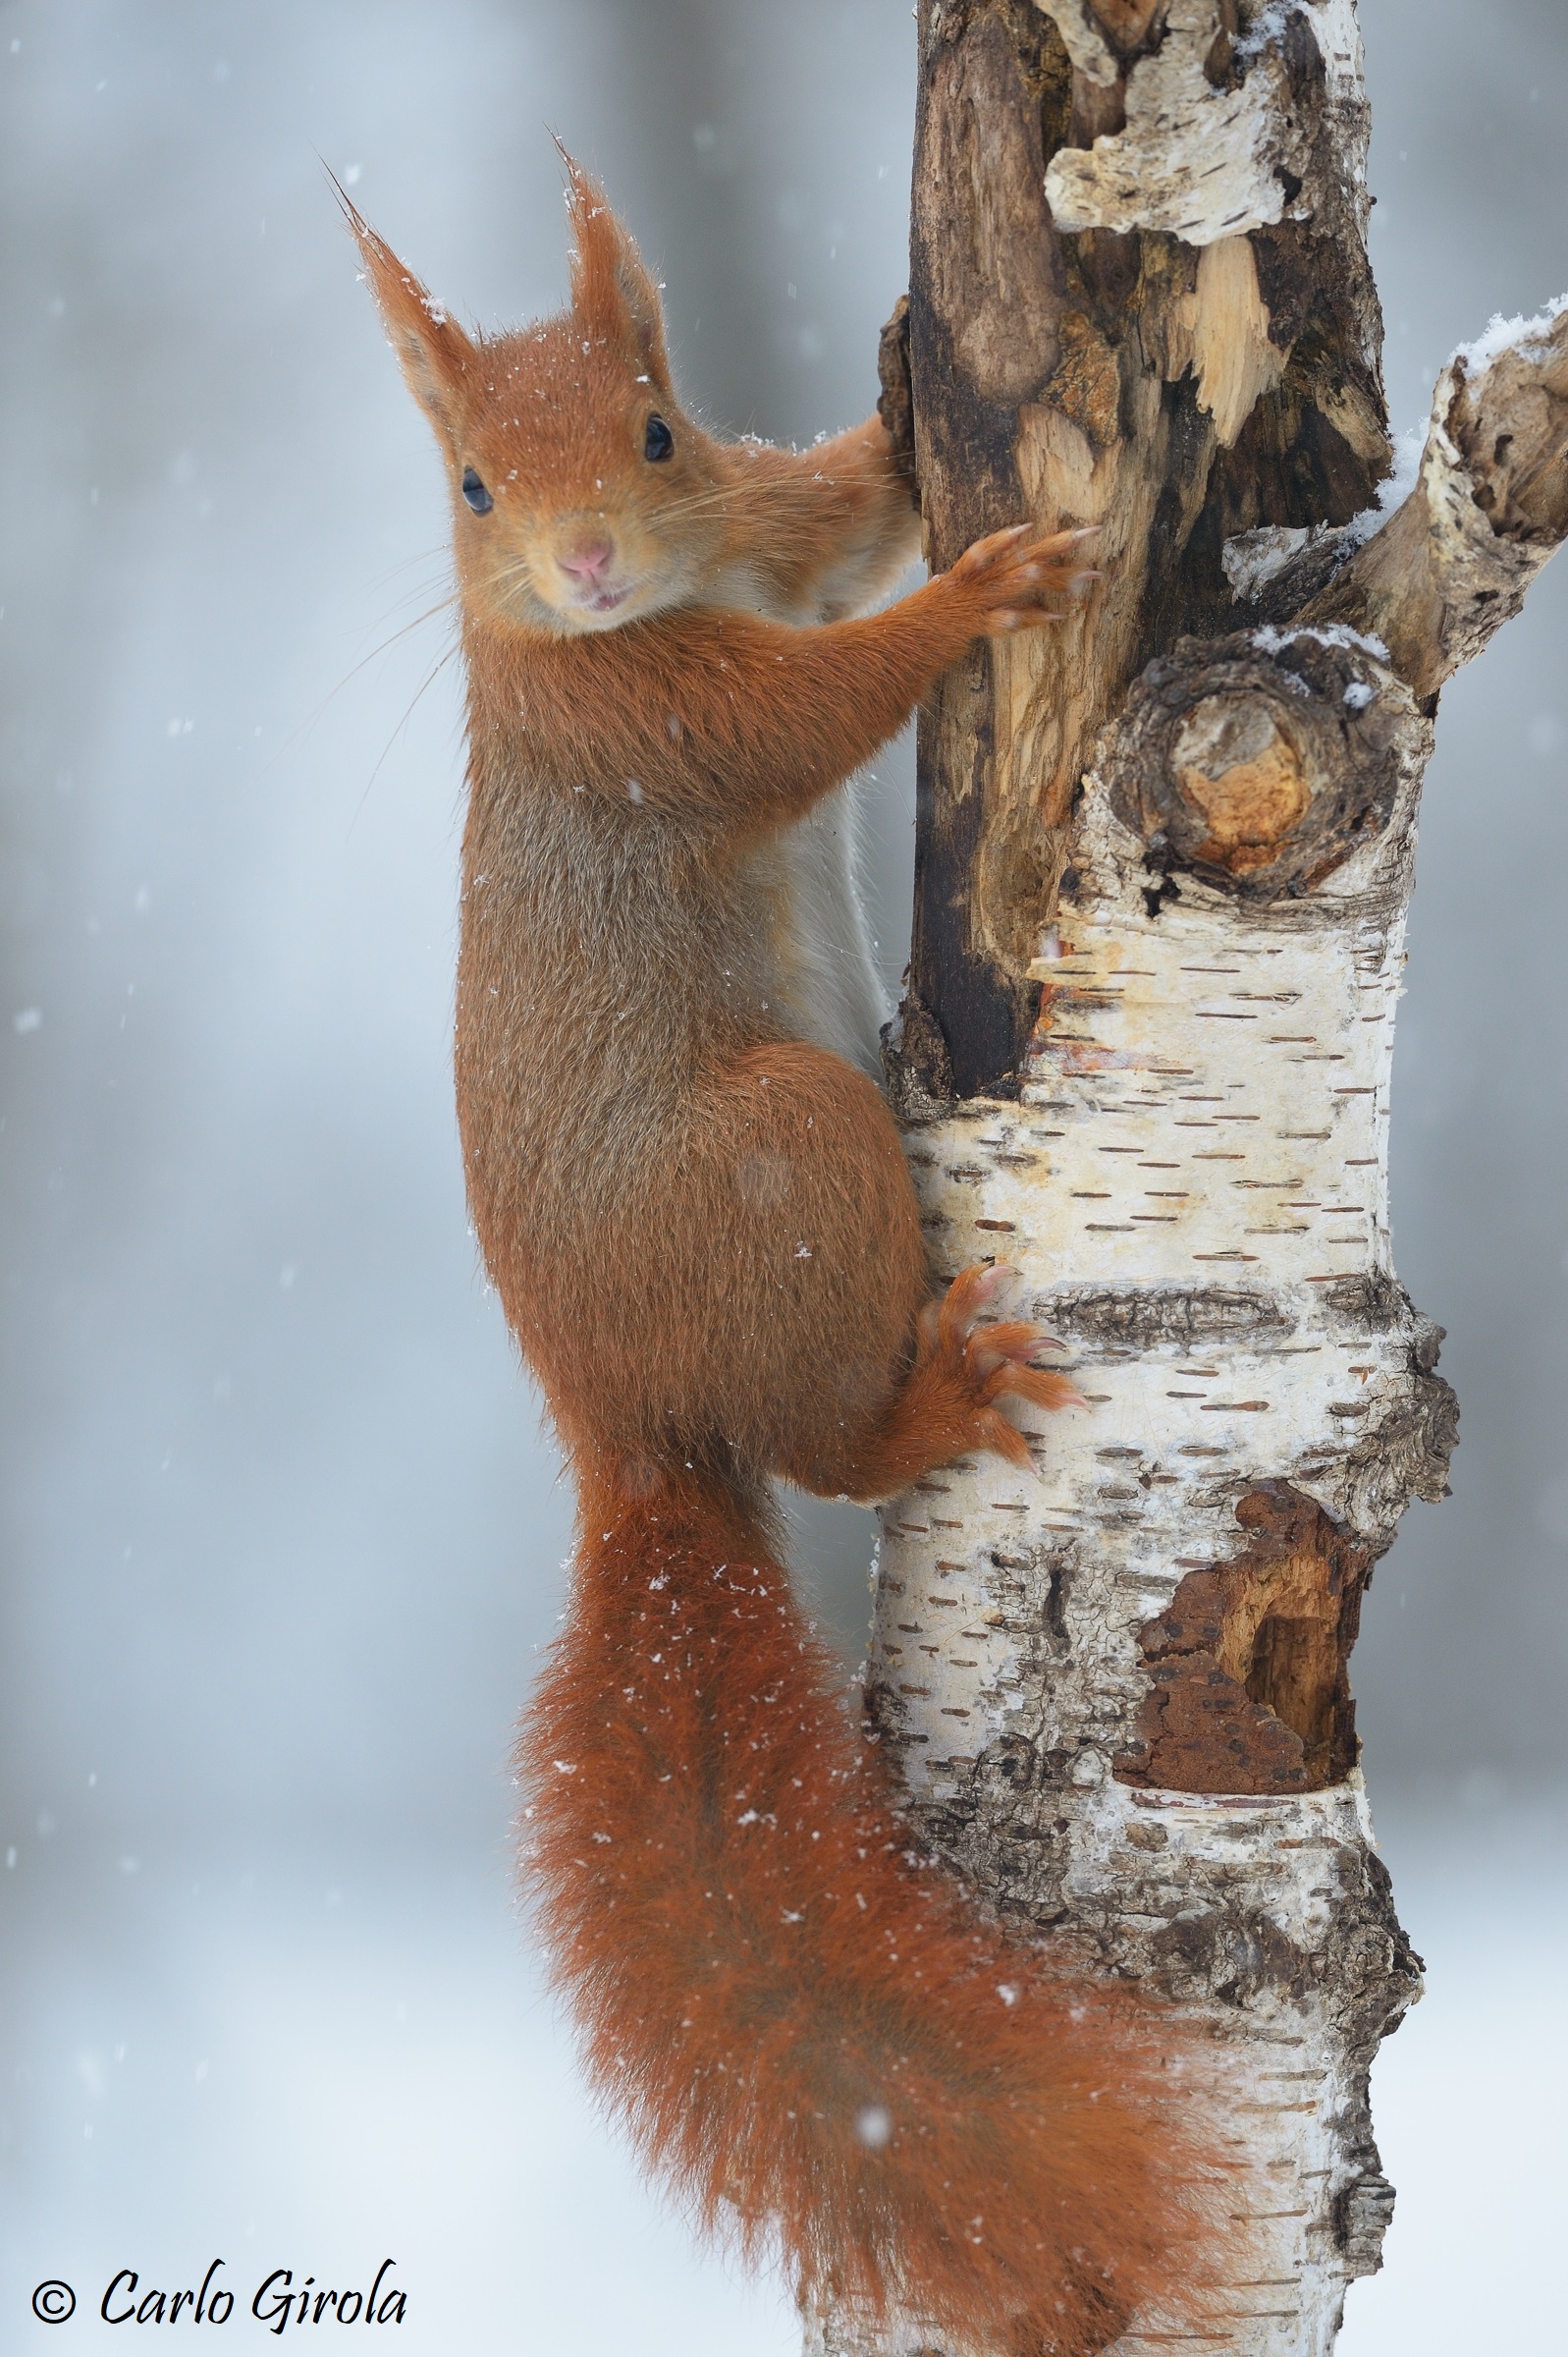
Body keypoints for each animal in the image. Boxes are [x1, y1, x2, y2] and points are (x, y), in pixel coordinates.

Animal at [345, 155, 1218, 2356]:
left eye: (657, 429)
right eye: (465, 486)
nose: (580, 559)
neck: (650, 605)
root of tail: (624, 1432)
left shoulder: (760, 533)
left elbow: (836, 520)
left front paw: (908, 391)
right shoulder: (646, 720)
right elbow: (821, 700)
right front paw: (983, 596)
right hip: (789, 1155)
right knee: (824, 1446)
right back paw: (939, 1395)